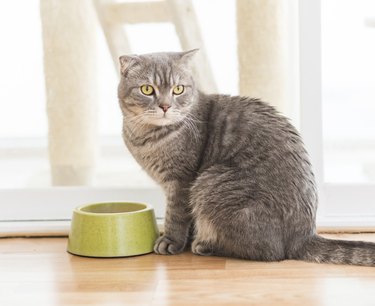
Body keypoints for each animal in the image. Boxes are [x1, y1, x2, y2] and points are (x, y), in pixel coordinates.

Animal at [118, 49, 375, 266]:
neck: (146, 136)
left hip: (209, 182)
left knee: (270, 253)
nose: (165, 106)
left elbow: (176, 215)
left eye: (178, 89)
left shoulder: (181, 181)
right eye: (147, 89)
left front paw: (171, 241)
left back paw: (205, 244)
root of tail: (304, 235)